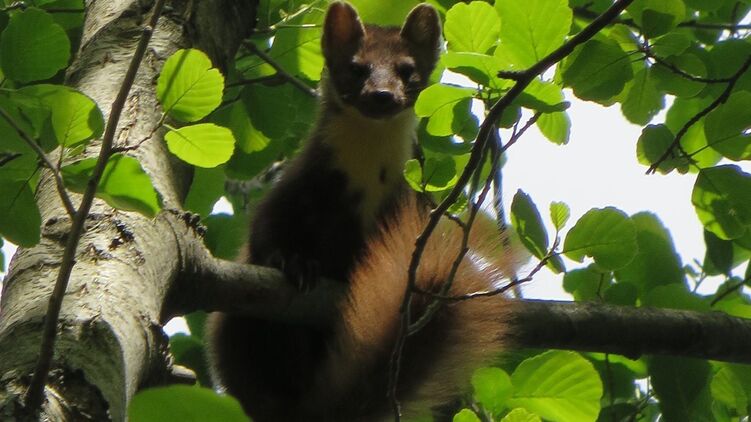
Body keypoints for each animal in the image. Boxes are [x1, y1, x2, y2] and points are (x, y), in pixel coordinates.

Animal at [206, 3, 519, 421]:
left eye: (406, 69)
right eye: (356, 67)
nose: (383, 94)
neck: (367, 176)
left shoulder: (401, 204)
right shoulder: (299, 183)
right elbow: (265, 231)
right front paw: (294, 263)